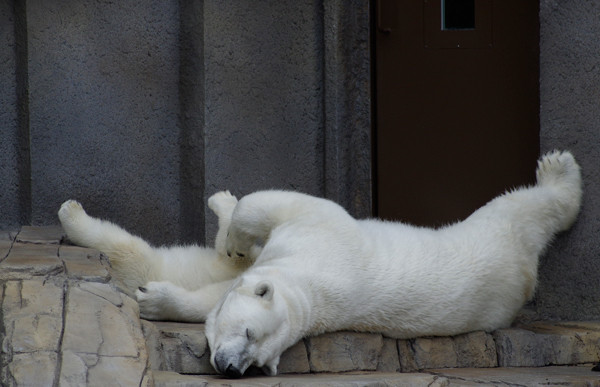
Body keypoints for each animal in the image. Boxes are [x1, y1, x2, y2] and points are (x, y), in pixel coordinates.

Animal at [205, 150, 580, 378]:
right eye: (258, 361)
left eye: (253, 341)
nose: (232, 368)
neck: (306, 284)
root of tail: (525, 275)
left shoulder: (318, 233)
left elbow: (269, 205)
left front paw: (227, 218)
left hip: (494, 231)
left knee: (524, 206)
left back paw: (557, 169)